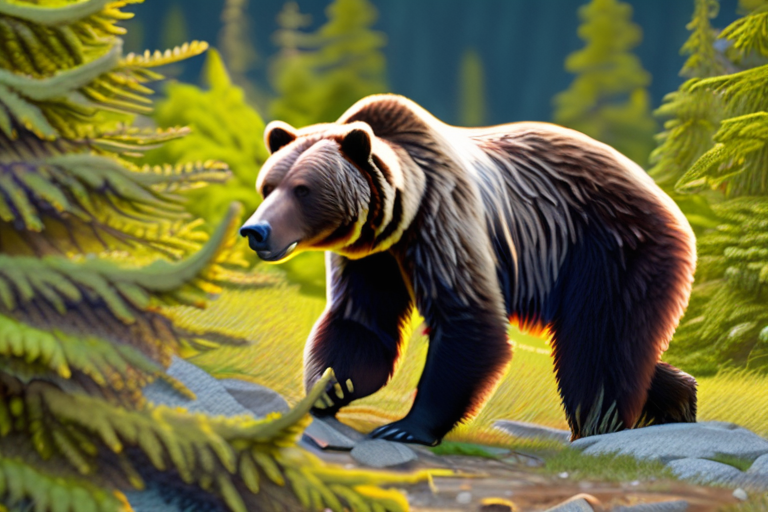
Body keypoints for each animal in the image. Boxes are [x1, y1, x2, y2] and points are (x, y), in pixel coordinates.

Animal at [240, 94, 698, 446]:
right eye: (269, 185)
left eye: (303, 190)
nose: (255, 230)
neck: (397, 218)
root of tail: (666, 198)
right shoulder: (372, 259)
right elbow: (361, 322)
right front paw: (327, 389)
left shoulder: (444, 220)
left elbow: (469, 321)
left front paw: (405, 427)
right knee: (622, 349)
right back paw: (678, 402)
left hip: (612, 248)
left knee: (598, 345)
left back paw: (597, 428)